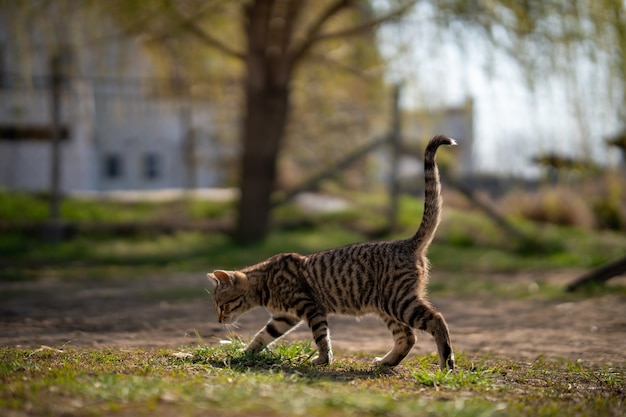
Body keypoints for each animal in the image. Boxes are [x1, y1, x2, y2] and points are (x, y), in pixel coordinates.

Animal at [207, 134, 456, 368]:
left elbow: (321, 337)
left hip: (399, 302)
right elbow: (261, 336)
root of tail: (407, 242)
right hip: (387, 307)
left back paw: (446, 363)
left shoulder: (310, 308)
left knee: (437, 320)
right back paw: (386, 362)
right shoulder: (283, 318)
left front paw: (323, 360)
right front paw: (244, 354)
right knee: (408, 337)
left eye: (222, 304)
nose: (218, 320)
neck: (265, 282)